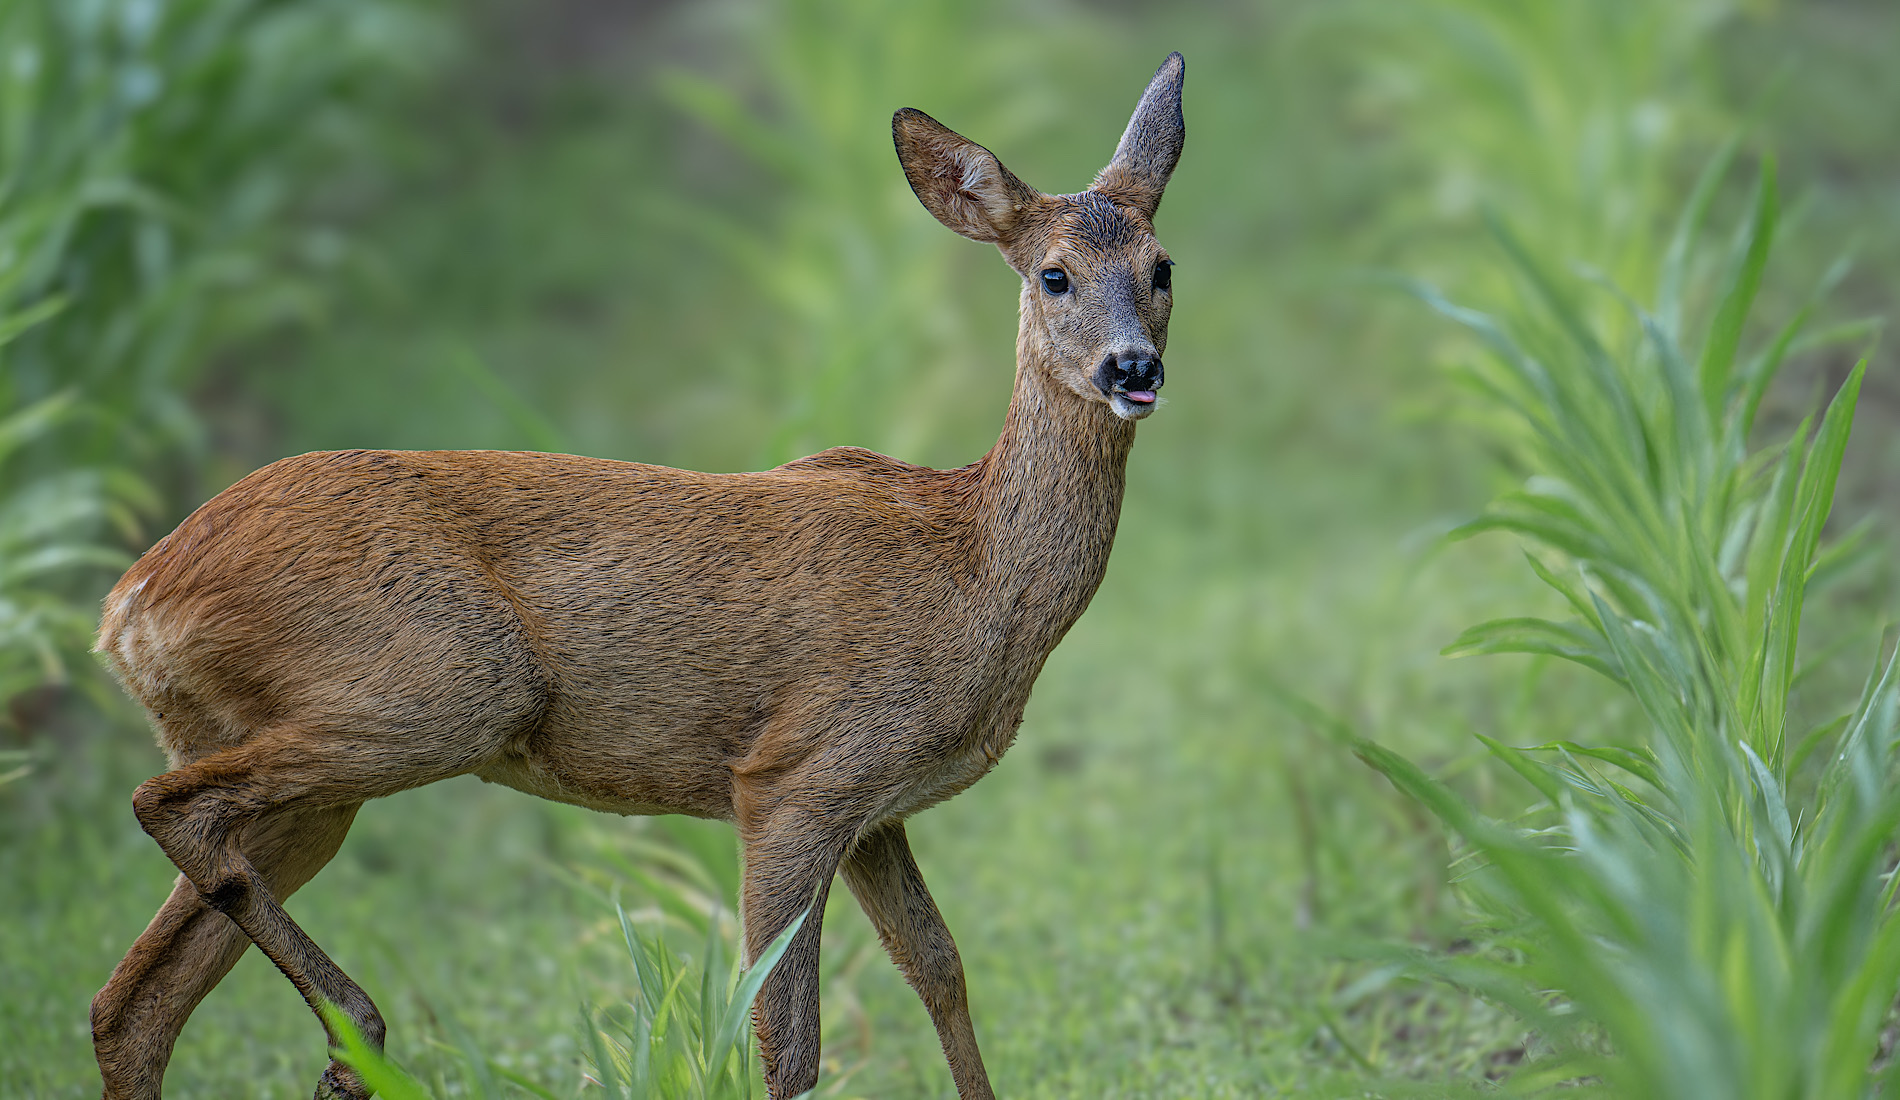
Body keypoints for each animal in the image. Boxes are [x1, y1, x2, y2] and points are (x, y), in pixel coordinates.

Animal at [92, 51, 1185, 1100]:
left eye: (1162, 265)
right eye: (1053, 275)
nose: (1133, 369)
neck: (974, 571)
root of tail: (130, 601)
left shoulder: (877, 809)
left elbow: (940, 967)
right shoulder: (796, 773)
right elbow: (786, 1039)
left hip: (299, 771)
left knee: (130, 1000)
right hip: (443, 687)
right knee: (166, 809)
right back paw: (357, 1036)